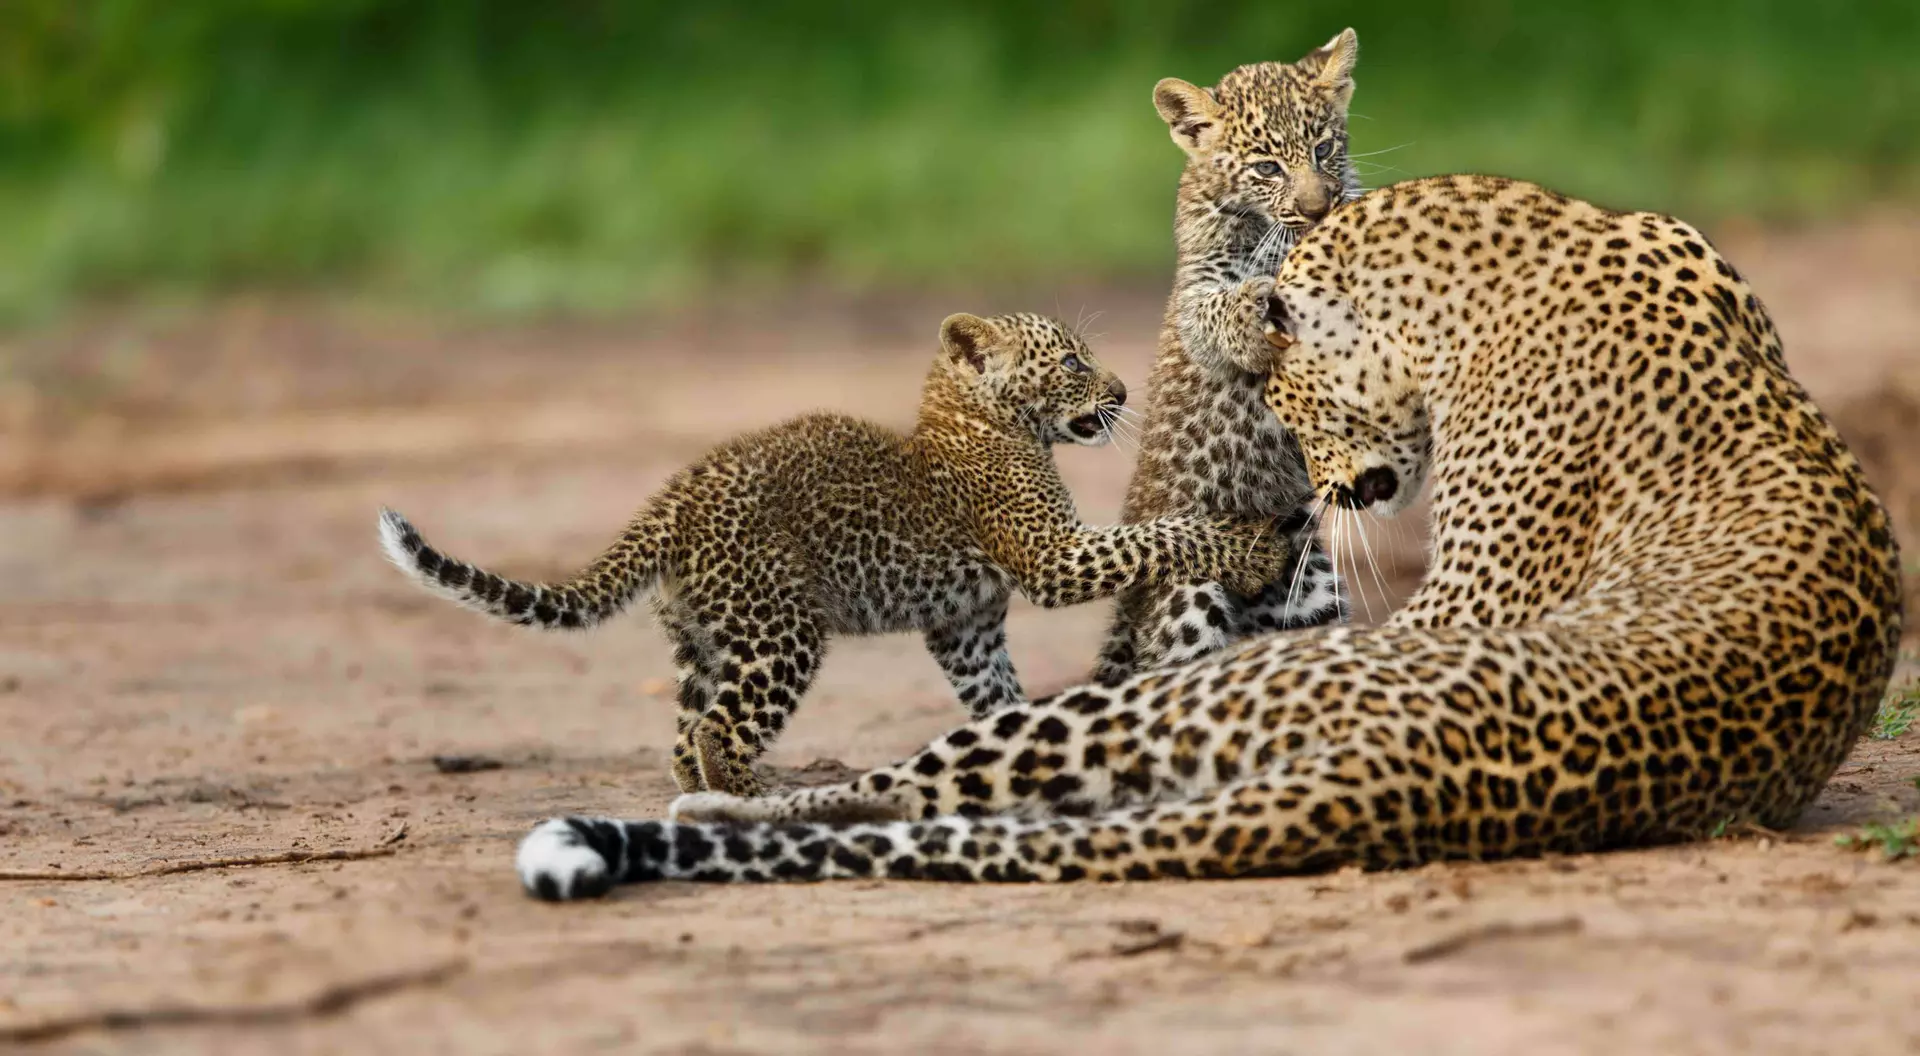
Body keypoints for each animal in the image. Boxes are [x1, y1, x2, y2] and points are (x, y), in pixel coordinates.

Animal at [378, 311, 1290, 799]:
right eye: (1070, 360)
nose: (1123, 392)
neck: (981, 420)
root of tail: (672, 497)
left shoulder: (966, 624)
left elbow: (994, 695)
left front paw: (1019, 752)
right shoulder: (1052, 557)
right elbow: (1161, 535)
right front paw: (1245, 547)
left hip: (702, 637)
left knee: (684, 733)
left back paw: (703, 801)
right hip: (779, 629)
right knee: (719, 731)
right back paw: (756, 798)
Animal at [514, 176, 1902, 897]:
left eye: (1294, 399)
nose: (1317, 493)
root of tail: (1387, 777)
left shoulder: (1466, 590)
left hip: (1141, 715)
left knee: (891, 787)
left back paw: (707, 804)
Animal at [1092, 28, 1367, 688]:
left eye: (1323, 149)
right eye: (1267, 166)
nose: (1318, 208)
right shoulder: (1198, 294)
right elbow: (1219, 309)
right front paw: (1258, 311)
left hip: (1310, 592)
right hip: (1186, 597)